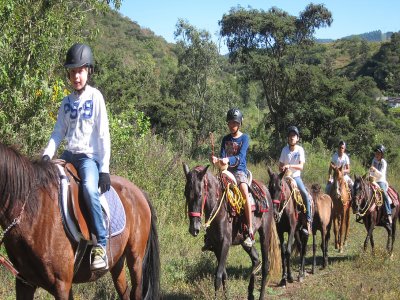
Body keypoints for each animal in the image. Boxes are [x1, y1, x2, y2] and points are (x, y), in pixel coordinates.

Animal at [0, 143, 159, 300]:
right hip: (118, 261)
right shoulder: (25, 282)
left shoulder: (62, 284)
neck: (34, 213)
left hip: (135, 259)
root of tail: (139, 192)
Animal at [183, 164, 280, 300]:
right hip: (245, 242)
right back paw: (250, 292)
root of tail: (265, 191)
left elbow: (218, 276)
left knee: (265, 265)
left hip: (265, 234)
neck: (219, 210)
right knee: (256, 260)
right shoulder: (216, 246)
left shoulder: (225, 244)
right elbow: (223, 274)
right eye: (186, 194)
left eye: (200, 195)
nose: (194, 228)